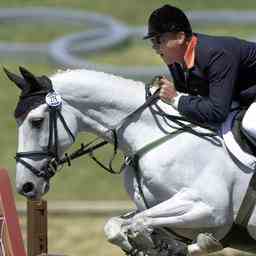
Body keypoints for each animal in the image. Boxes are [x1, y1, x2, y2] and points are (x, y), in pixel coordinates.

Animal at [4, 67, 256, 255]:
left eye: (36, 121)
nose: (26, 186)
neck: (151, 134)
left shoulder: (207, 207)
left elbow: (139, 222)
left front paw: (154, 243)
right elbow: (116, 225)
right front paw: (149, 245)